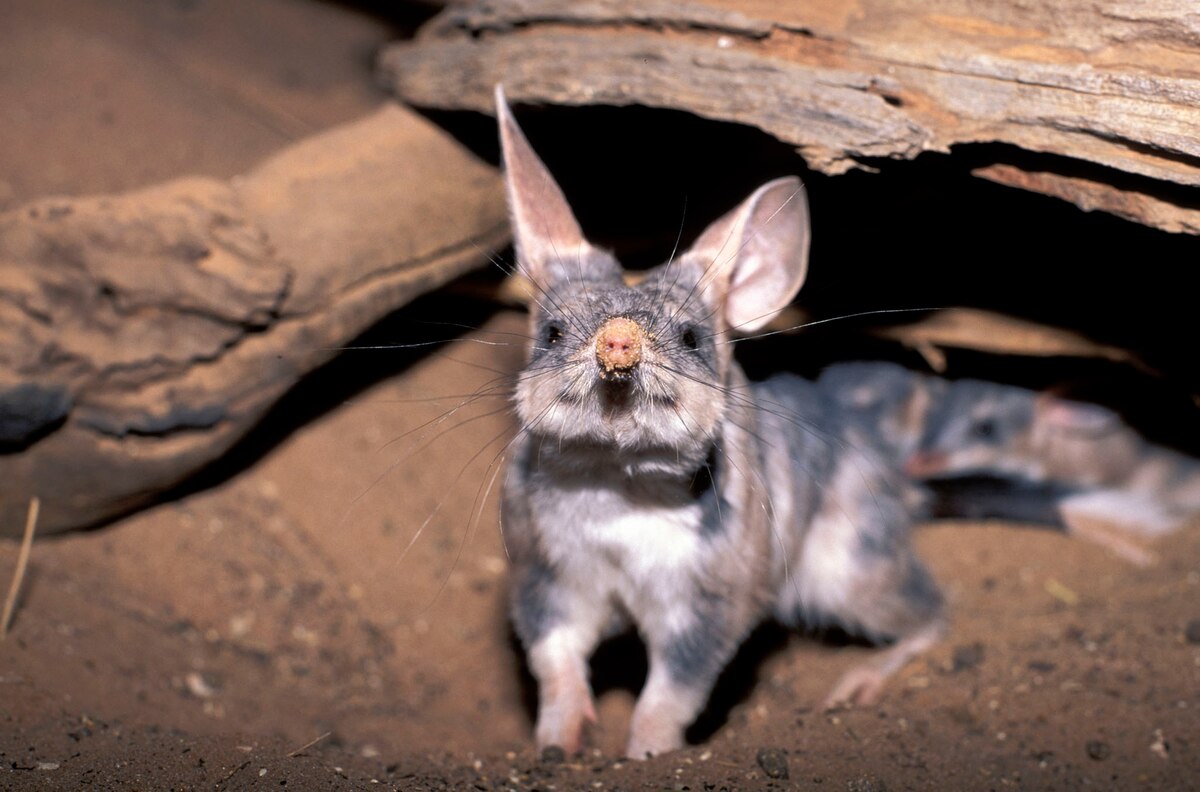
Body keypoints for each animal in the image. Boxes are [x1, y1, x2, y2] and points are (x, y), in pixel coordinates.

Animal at [495, 87, 944, 759]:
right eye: (550, 333)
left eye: (690, 337)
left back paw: (858, 682)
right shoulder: (543, 573)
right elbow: (556, 659)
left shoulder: (712, 601)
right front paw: (557, 743)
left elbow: (670, 693)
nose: (617, 343)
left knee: (934, 613)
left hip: (852, 566)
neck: (615, 481)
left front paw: (646, 756)